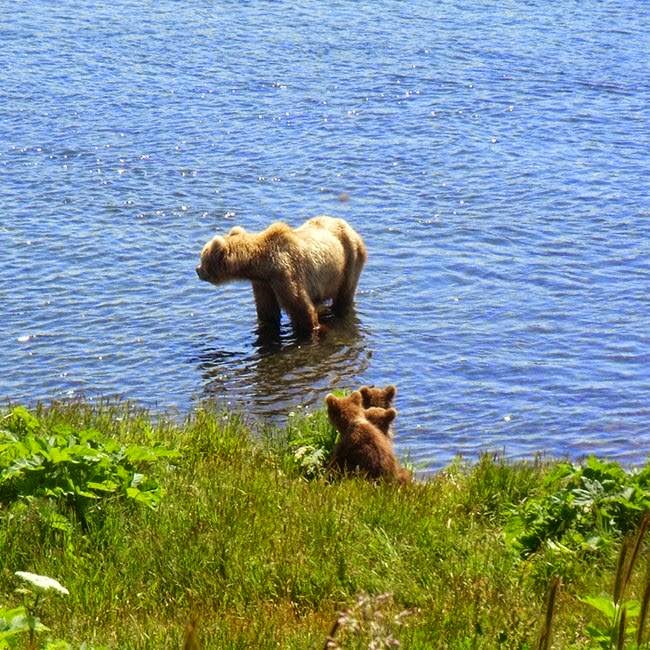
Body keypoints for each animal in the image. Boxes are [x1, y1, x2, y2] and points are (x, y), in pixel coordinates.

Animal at [195, 216, 364, 334]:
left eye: (202, 258)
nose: (197, 270)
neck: (263, 265)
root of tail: (348, 226)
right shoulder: (263, 283)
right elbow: (267, 313)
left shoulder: (285, 275)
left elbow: (301, 309)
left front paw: (316, 329)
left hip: (350, 258)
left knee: (344, 294)